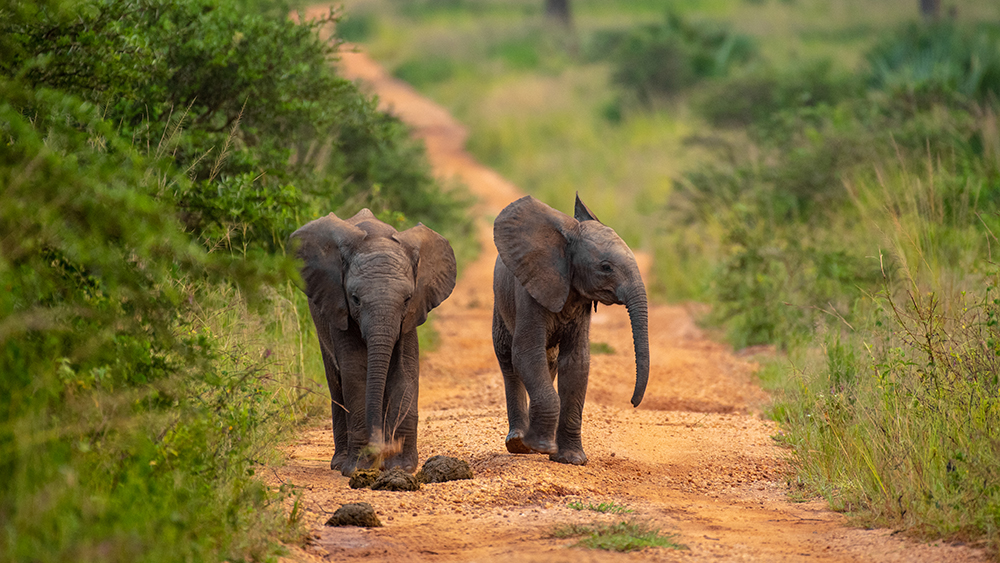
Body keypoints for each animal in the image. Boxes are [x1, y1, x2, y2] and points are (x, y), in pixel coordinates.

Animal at [292, 209, 457, 476]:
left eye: (407, 299)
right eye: (355, 299)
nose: (382, 448)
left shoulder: (410, 317)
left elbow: (405, 371)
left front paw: (400, 466)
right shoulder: (339, 307)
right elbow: (355, 372)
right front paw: (358, 468)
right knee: (336, 382)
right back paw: (339, 463)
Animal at [492, 194, 649, 466]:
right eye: (606, 267)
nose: (632, 402)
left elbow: (576, 362)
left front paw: (570, 459)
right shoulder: (530, 291)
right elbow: (525, 353)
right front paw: (542, 446)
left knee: (550, 361)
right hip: (500, 304)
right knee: (508, 360)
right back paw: (519, 443)